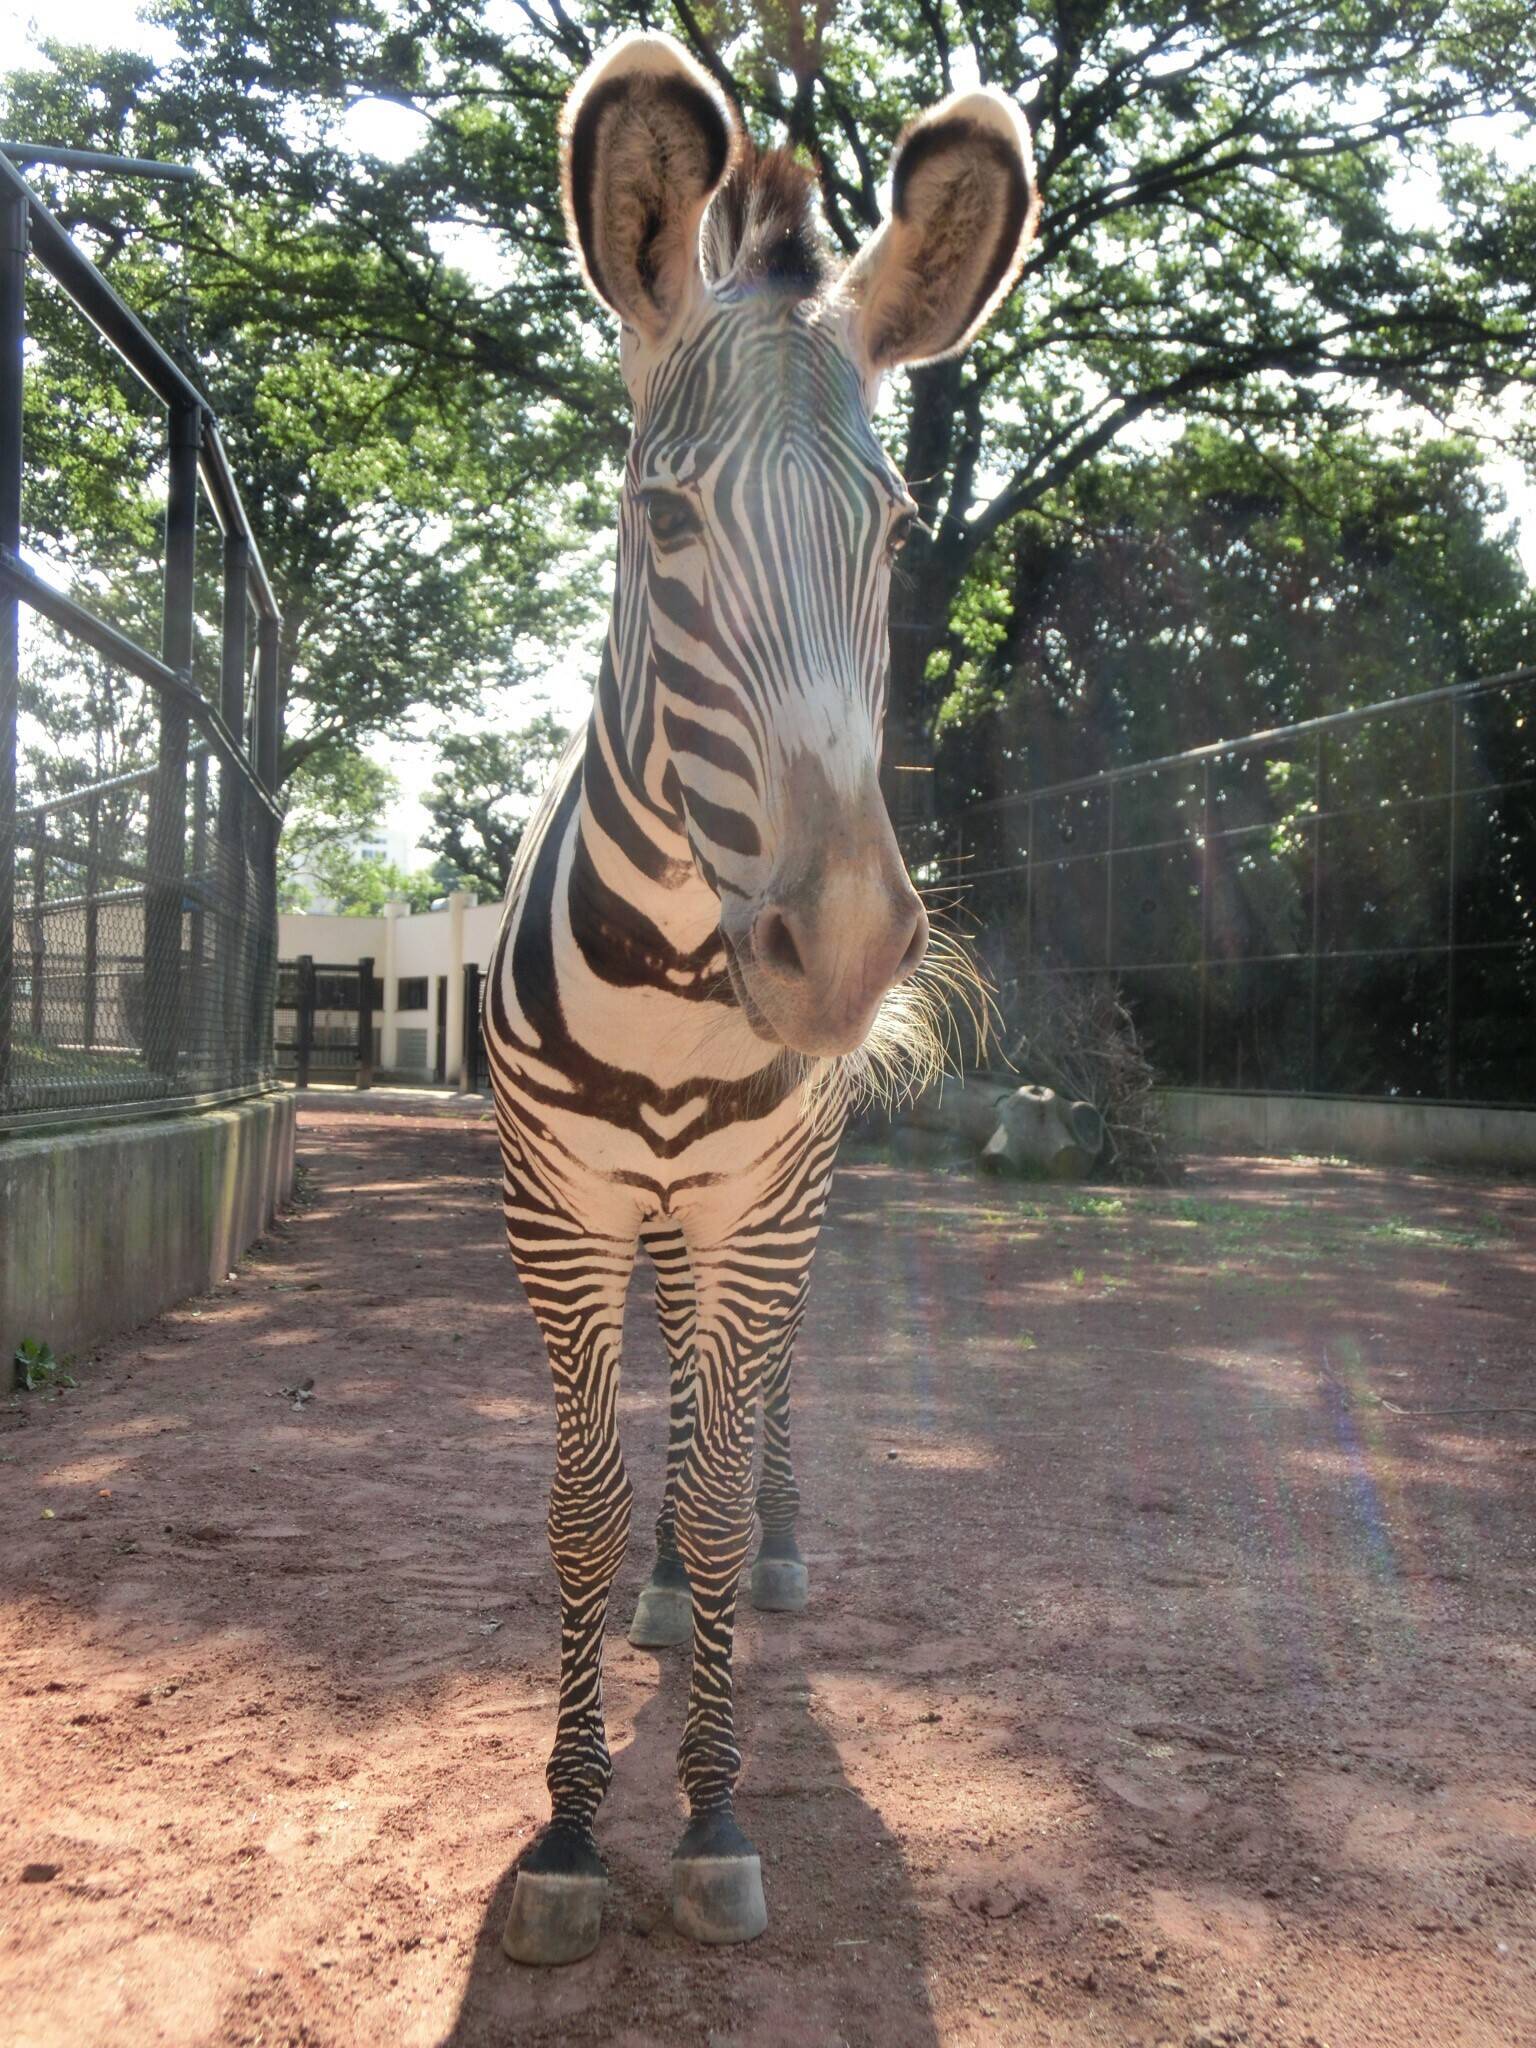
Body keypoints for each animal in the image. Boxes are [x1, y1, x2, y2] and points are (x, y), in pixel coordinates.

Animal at [487, 28, 1040, 1949]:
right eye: (661, 518)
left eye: (892, 529)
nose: (850, 952)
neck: (677, 971)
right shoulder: (561, 1199)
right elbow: (583, 1505)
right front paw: (575, 1828)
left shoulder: (762, 1198)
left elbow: (723, 1491)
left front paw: (715, 1808)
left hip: (775, 1199)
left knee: (764, 1401)